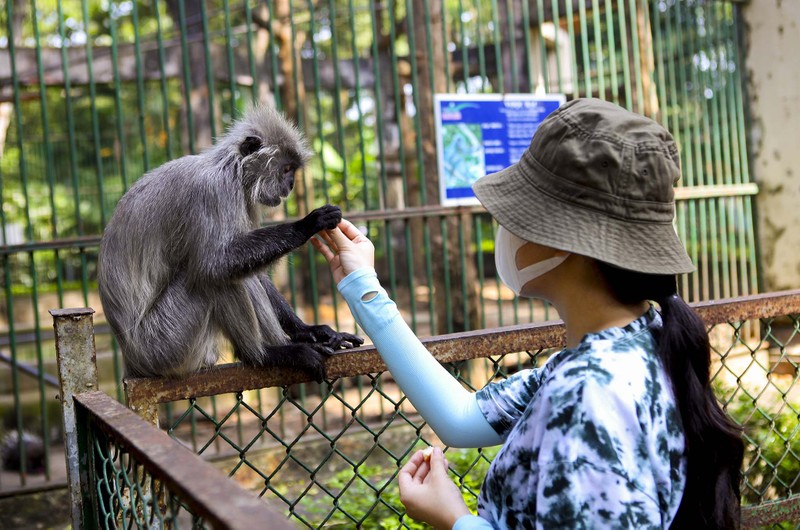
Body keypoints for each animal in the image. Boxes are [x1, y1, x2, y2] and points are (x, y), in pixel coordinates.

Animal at [97, 106, 362, 380]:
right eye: (287, 169)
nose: (290, 185)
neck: (231, 169)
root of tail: (132, 361)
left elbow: (250, 270)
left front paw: (308, 331)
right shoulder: (212, 191)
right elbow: (215, 264)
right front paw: (308, 224)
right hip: (163, 346)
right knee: (211, 280)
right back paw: (267, 354)